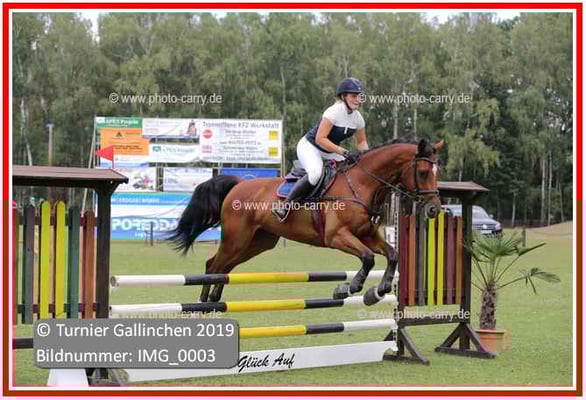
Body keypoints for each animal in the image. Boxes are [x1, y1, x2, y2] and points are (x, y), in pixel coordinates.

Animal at [168, 138, 444, 305]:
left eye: (436, 172)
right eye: (422, 173)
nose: (434, 209)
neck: (362, 184)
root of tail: (239, 184)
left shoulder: (367, 235)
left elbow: (393, 254)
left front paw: (379, 291)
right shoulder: (337, 236)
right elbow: (367, 258)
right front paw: (349, 287)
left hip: (258, 242)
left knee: (224, 266)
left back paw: (214, 299)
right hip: (237, 238)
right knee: (214, 264)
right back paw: (203, 303)